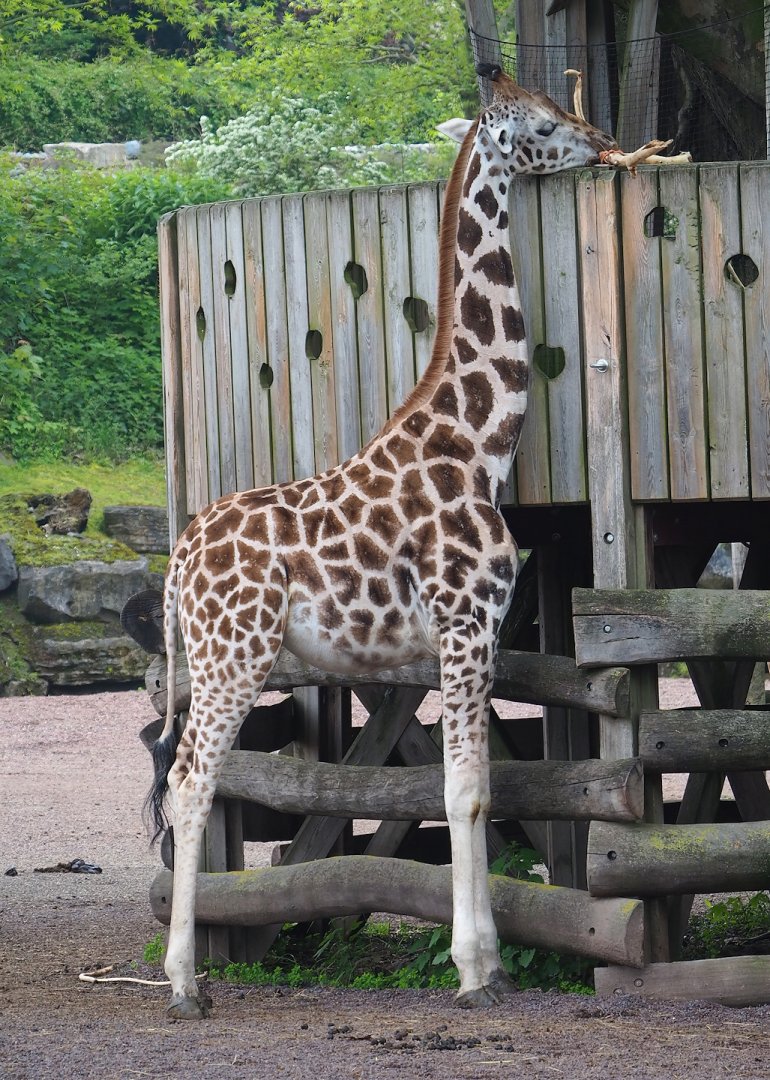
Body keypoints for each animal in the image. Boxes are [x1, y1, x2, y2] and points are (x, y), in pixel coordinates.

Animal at [151, 65, 616, 1018]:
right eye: (546, 122)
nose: (601, 140)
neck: (479, 444)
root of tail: (177, 562)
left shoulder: (468, 637)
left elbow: (476, 790)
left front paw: (490, 961)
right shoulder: (468, 625)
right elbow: (464, 792)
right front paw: (477, 969)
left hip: (222, 660)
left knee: (188, 782)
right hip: (232, 657)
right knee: (189, 784)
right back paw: (183, 984)